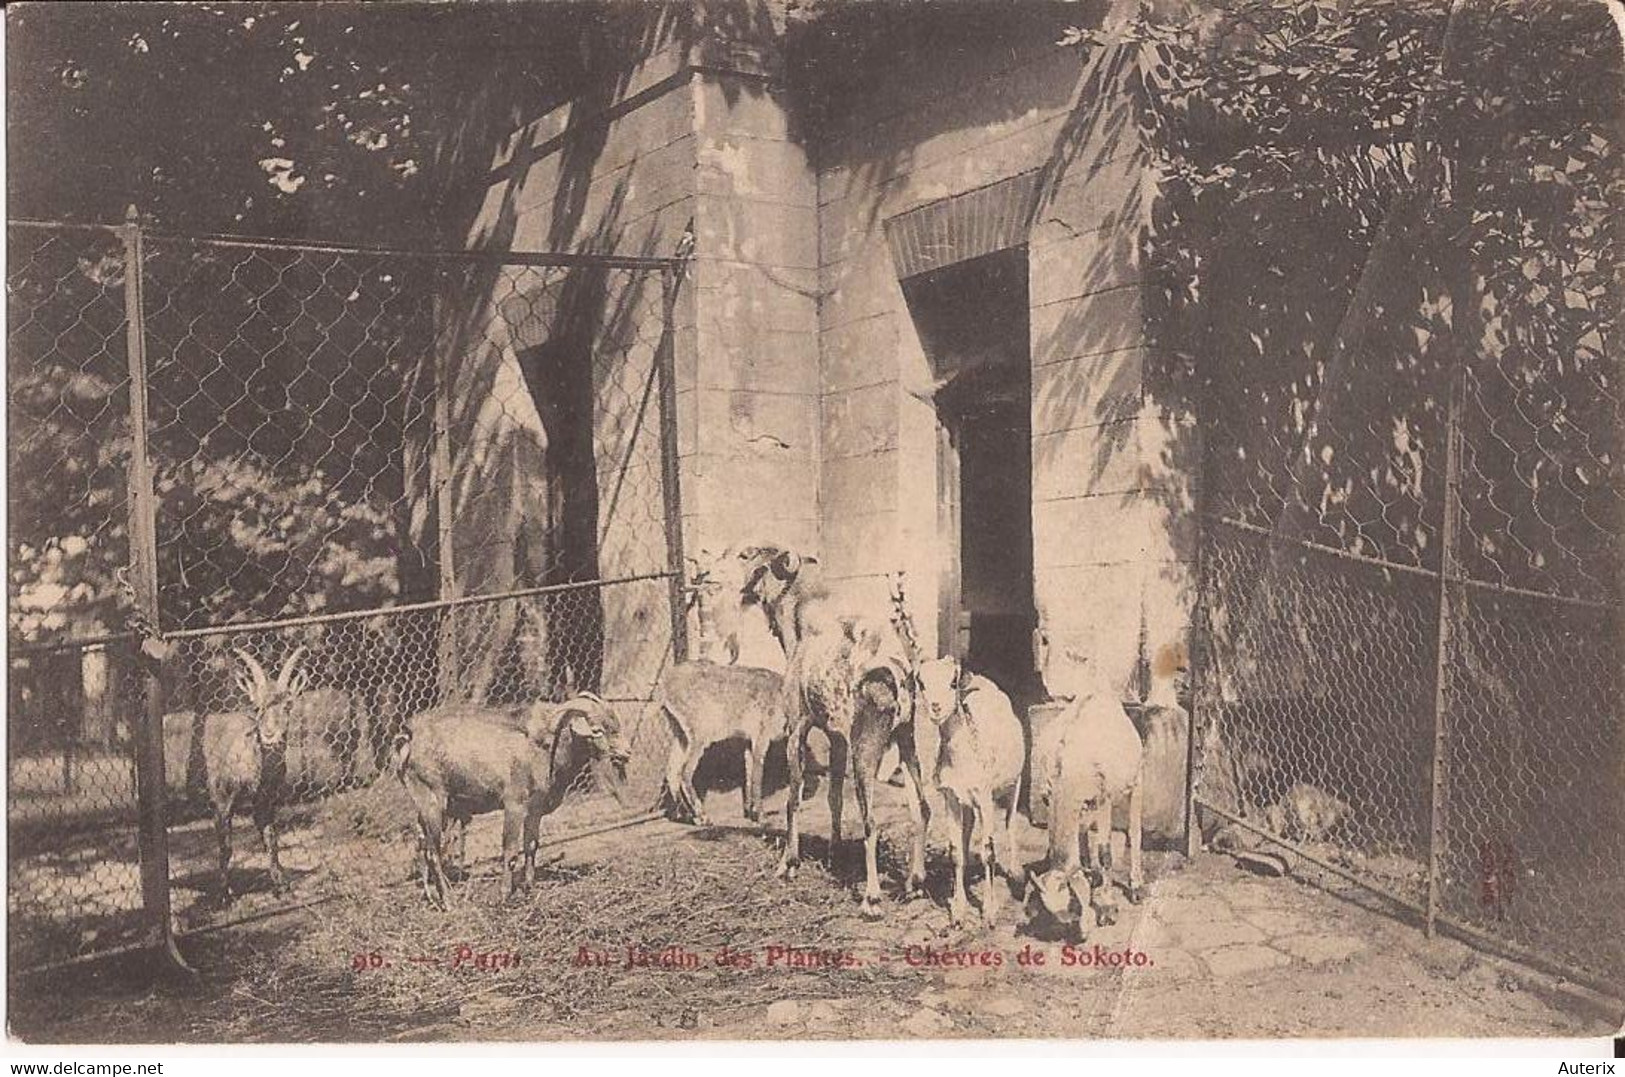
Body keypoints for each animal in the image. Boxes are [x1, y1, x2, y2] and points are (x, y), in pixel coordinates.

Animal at [203, 649, 310, 903]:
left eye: (288, 705)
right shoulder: (222, 798)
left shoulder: (265, 798)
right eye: (256, 706)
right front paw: (224, 894)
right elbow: (225, 845)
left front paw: (281, 885)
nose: (270, 735)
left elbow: (271, 838)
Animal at [390, 695, 630, 903]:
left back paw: (431, 897)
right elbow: (511, 851)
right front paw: (504, 894)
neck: (540, 748)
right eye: (598, 730)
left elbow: (531, 846)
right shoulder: (514, 806)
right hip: (433, 804)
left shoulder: (534, 811)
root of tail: (408, 741)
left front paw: (529, 889)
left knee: (421, 848)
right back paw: (449, 902)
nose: (626, 753)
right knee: (433, 853)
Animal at [731, 542, 936, 922]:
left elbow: (794, 800)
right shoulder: (837, 739)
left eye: (754, 558)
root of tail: (897, 674)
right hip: (906, 742)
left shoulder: (797, 730)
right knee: (923, 808)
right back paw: (914, 881)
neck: (802, 629)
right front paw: (833, 853)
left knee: (871, 821)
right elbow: (834, 799)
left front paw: (788, 863)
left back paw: (872, 899)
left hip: (866, 752)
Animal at [923, 656, 1020, 929]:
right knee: (966, 836)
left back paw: (1016, 872)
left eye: (952, 682)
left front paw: (989, 913)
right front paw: (958, 912)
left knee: (1010, 824)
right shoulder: (951, 798)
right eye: (921, 683)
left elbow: (988, 852)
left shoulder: (986, 799)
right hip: (967, 803)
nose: (935, 707)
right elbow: (956, 852)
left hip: (1013, 785)